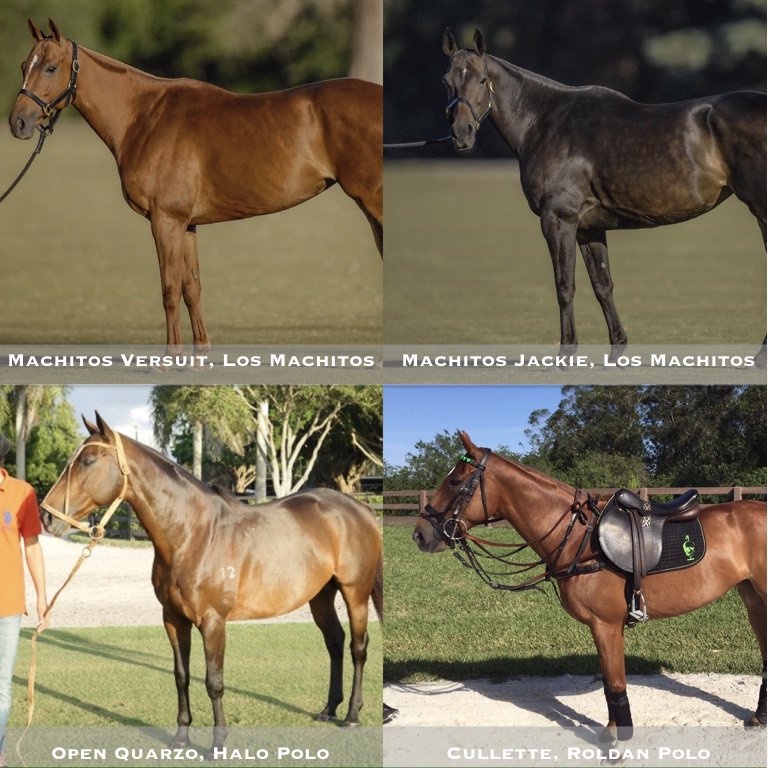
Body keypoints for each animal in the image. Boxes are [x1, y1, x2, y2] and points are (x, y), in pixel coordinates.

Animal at [9, 19, 382, 351]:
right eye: (25, 66)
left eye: (51, 68)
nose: (18, 123)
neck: (143, 117)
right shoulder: (186, 224)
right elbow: (192, 286)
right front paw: (198, 355)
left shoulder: (165, 221)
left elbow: (170, 289)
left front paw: (169, 358)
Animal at [40, 412, 383, 754]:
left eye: (88, 461)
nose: (47, 517)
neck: (194, 535)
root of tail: (360, 508)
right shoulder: (173, 618)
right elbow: (181, 675)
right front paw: (181, 737)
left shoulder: (213, 621)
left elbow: (214, 681)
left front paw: (218, 742)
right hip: (320, 596)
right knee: (335, 642)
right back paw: (329, 709)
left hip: (355, 593)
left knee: (358, 647)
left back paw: (351, 715)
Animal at [412, 430, 766, 741]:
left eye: (455, 481)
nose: (420, 534)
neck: (578, 540)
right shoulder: (606, 627)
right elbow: (611, 685)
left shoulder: (605, 624)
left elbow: (614, 684)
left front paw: (617, 742)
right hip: (752, 597)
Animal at [441, 28, 767, 362]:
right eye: (446, 80)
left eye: (483, 79)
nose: (462, 134)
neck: (544, 123)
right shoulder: (588, 227)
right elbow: (602, 285)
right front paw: (617, 352)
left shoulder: (558, 219)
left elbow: (564, 285)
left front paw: (566, 355)